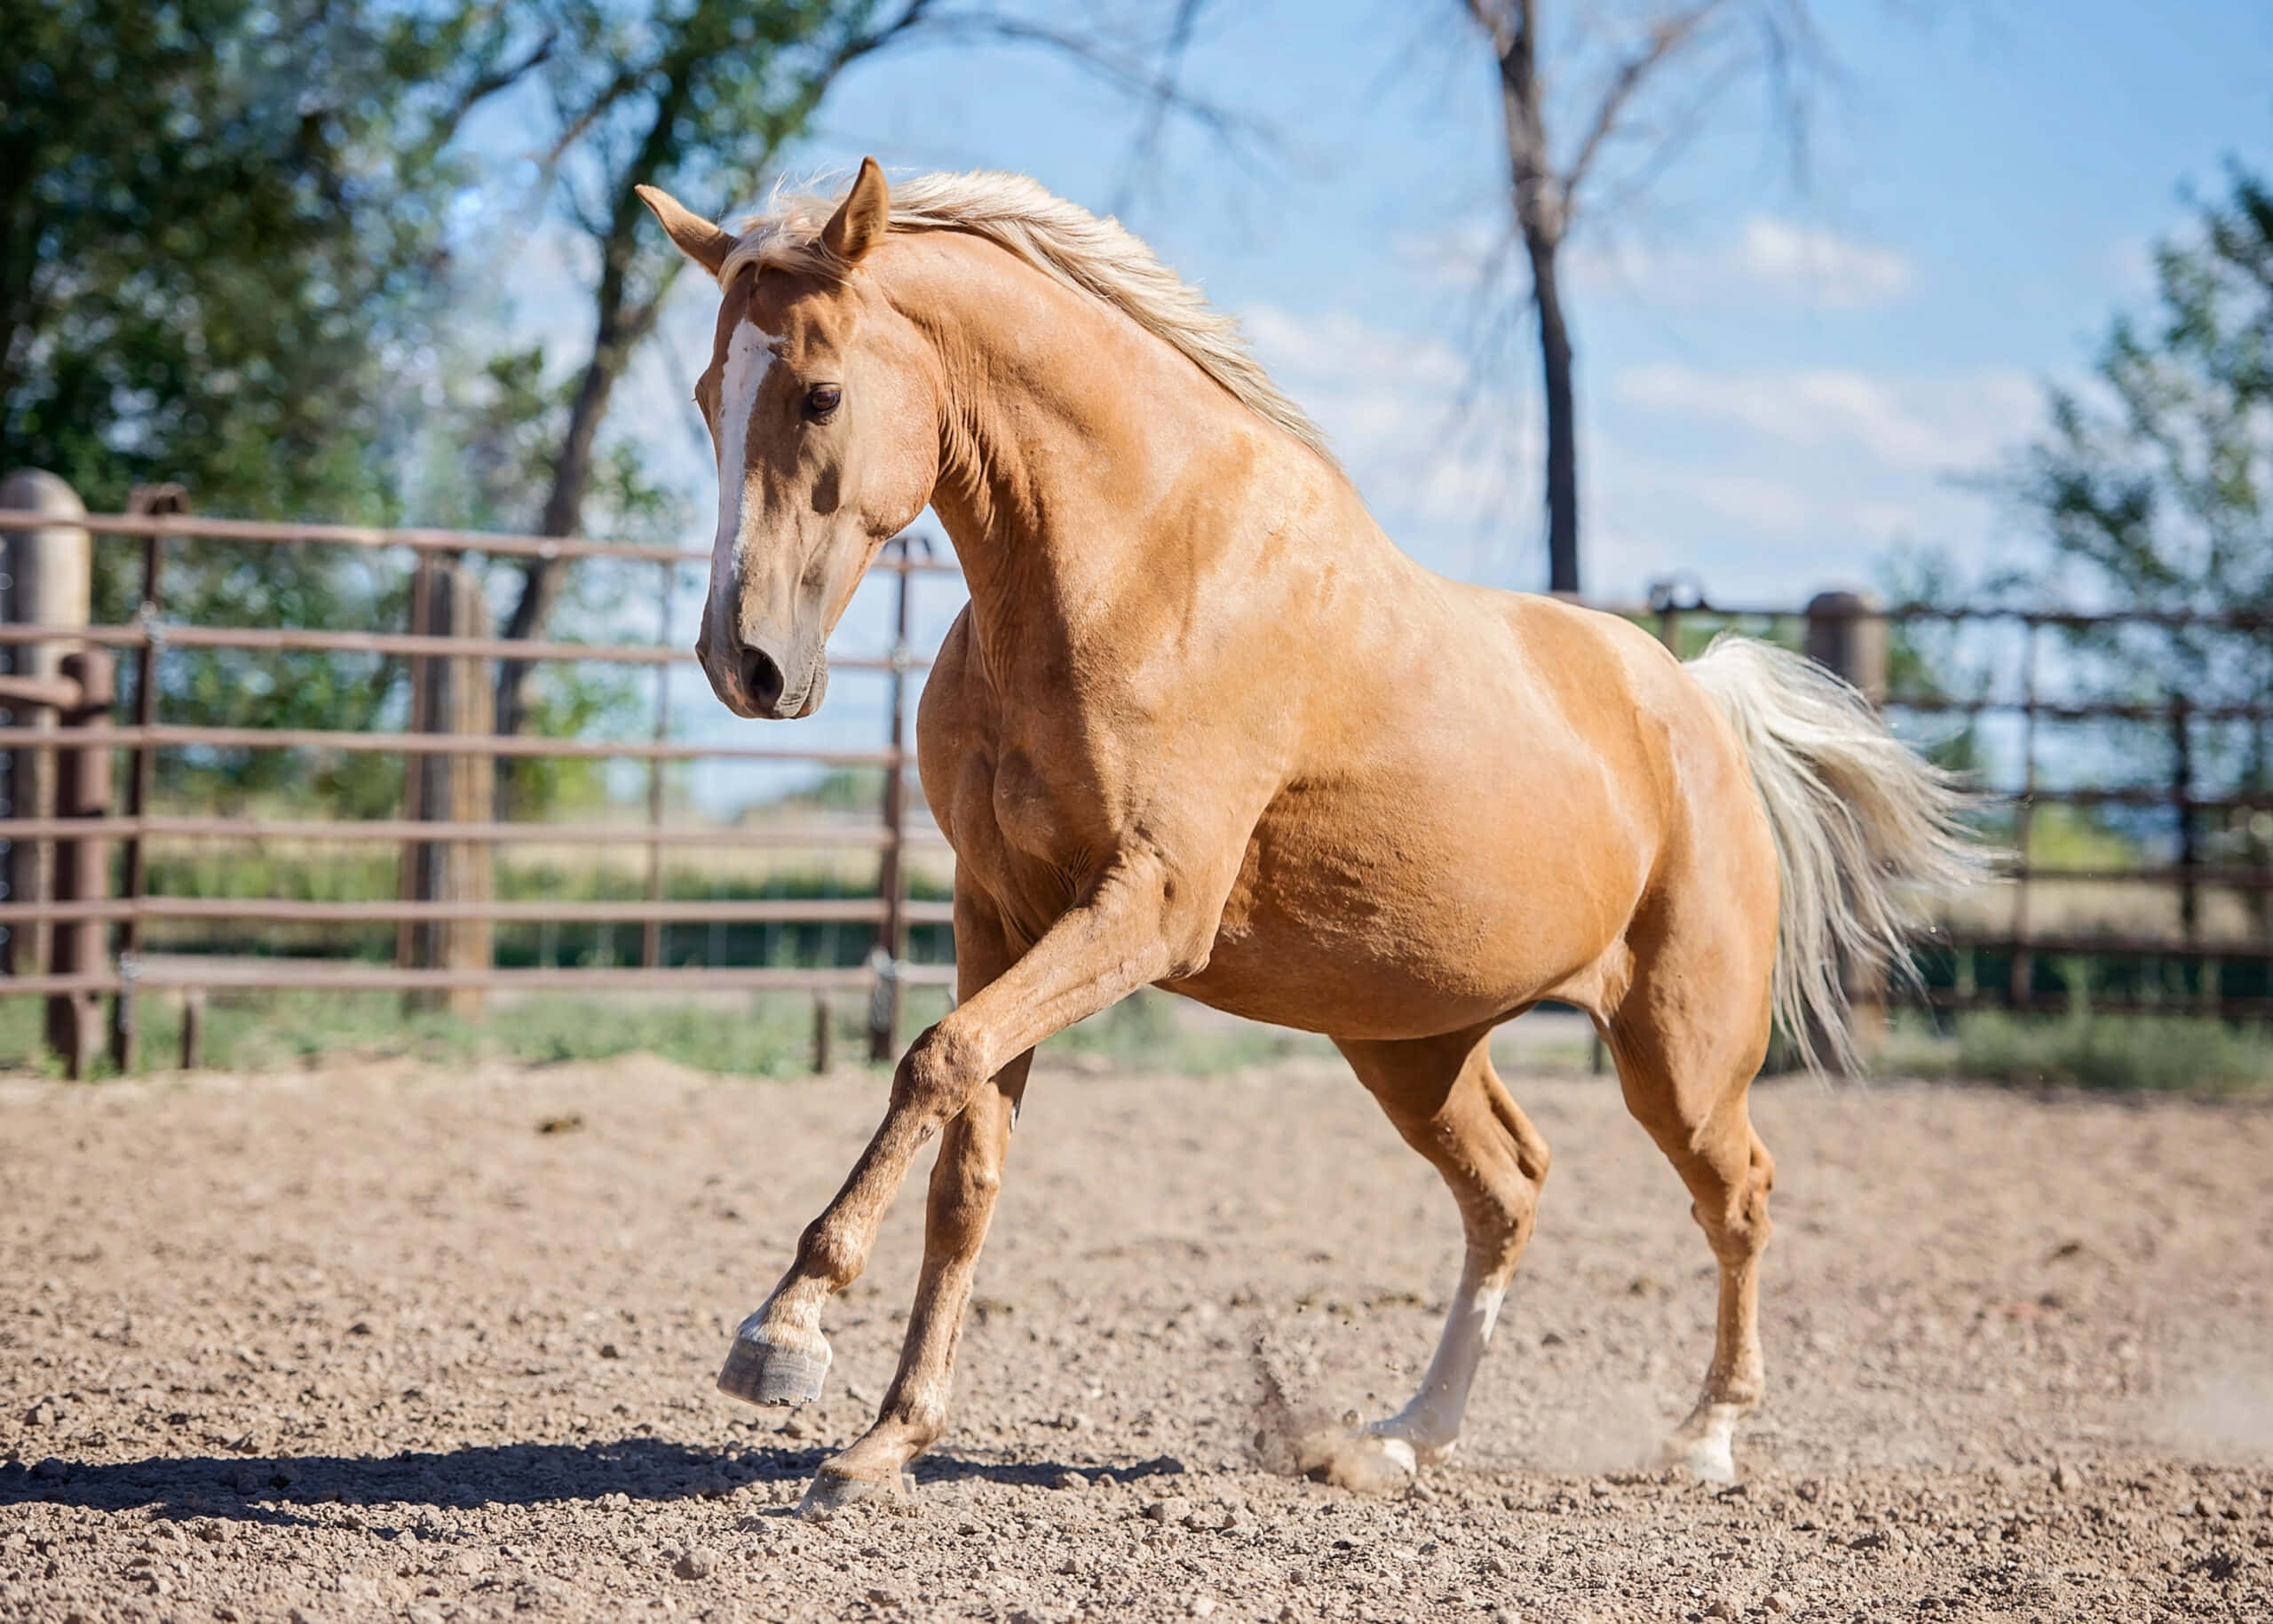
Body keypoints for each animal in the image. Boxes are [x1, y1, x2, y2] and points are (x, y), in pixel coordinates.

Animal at [635, 158, 1972, 1514]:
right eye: (705, 395)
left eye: (820, 391)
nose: (745, 665)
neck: (1127, 567)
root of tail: (1694, 704)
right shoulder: (996, 914)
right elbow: (967, 1156)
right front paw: (884, 1441)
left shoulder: (1146, 907)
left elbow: (932, 1063)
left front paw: (783, 1331)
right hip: (1414, 1045)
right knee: (1510, 1189)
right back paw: (1401, 1437)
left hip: (1677, 1053)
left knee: (1736, 1193)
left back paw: (1703, 1437)